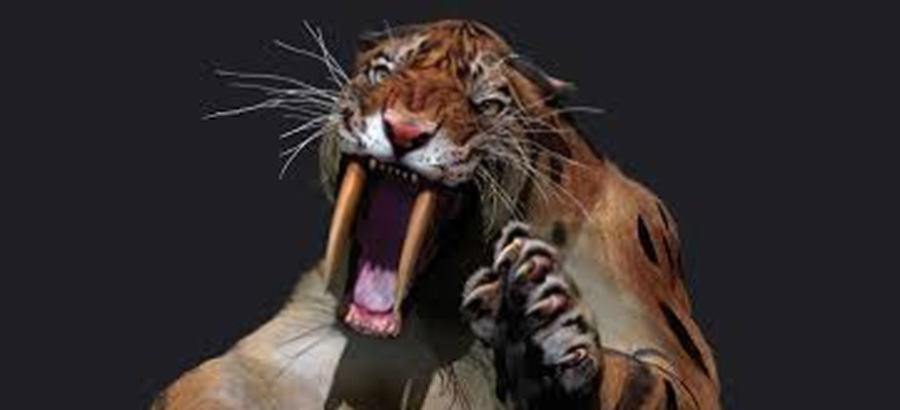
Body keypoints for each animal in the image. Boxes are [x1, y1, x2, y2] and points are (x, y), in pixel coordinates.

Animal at [161, 19, 721, 409]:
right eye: (383, 72)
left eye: (486, 103)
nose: (404, 130)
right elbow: (217, 381)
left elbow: (651, 380)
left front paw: (540, 323)